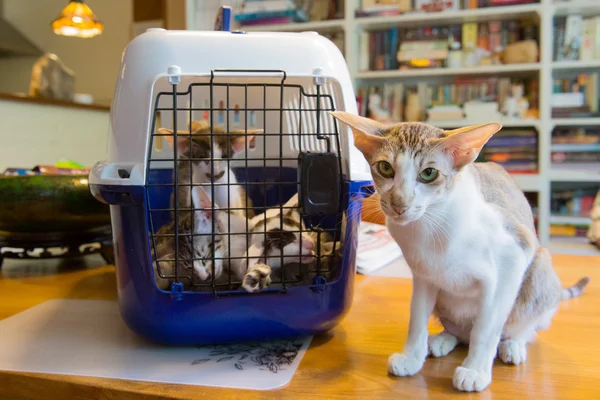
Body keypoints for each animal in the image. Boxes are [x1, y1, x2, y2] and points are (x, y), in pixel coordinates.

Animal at [330, 111, 588, 392]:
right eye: (385, 168)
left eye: (428, 173)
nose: (400, 204)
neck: (430, 225)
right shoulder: (423, 274)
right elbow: (416, 318)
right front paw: (412, 358)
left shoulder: (514, 254)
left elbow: (486, 328)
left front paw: (475, 370)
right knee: (461, 331)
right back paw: (442, 340)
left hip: (539, 265)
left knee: (523, 324)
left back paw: (512, 345)